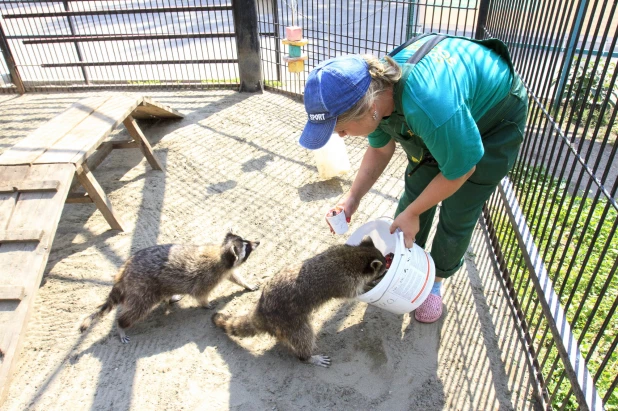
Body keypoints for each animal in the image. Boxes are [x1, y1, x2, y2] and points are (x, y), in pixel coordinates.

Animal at [79, 230, 258, 342]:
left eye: (246, 241)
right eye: (247, 246)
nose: (258, 241)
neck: (222, 254)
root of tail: (123, 273)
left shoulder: (226, 270)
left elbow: (235, 277)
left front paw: (246, 285)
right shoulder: (207, 277)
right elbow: (199, 294)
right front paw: (205, 303)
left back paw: (171, 298)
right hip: (142, 290)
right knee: (137, 310)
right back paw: (121, 324)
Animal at [214, 237, 382, 368]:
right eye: (385, 266)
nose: (387, 266)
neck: (355, 255)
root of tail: (261, 310)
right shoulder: (345, 282)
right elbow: (354, 293)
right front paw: (370, 285)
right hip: (289, 321)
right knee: (303, 337)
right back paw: (307, 357)